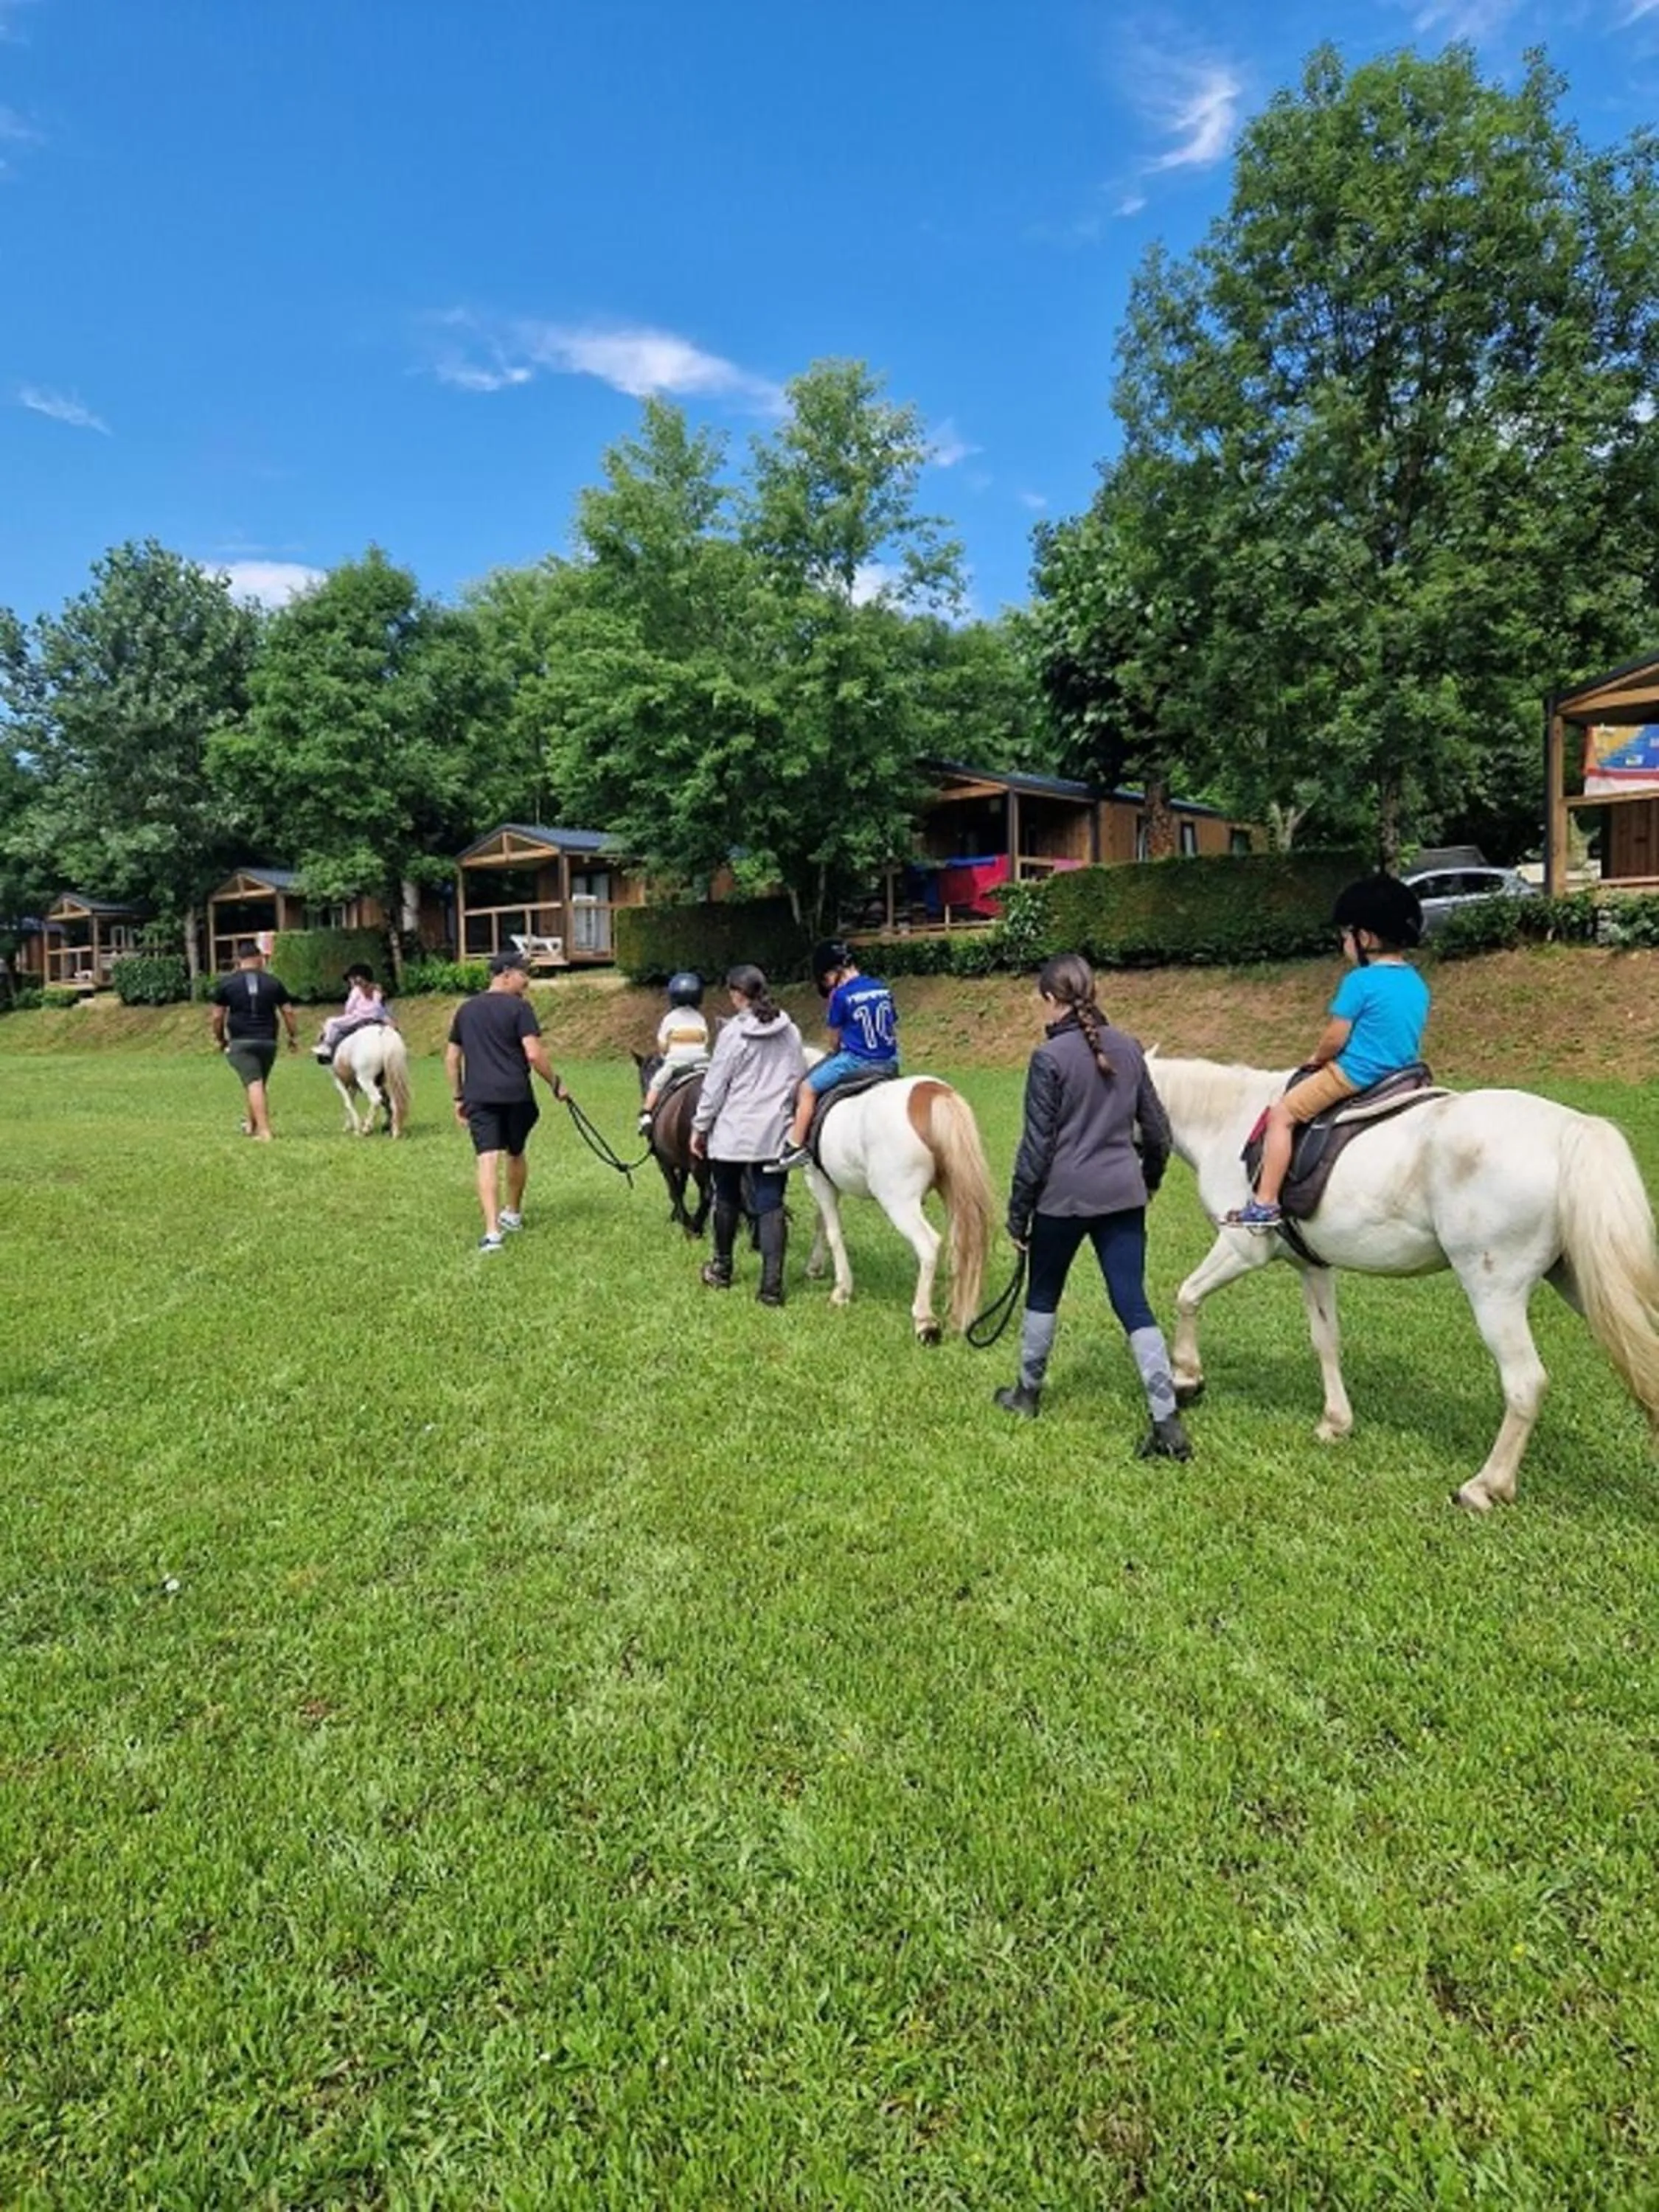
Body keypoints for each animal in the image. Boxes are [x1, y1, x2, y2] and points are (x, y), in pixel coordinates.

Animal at [331, 1025, 412, 1139]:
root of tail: (382, 1032)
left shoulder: (340, 1083)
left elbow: (348, 1104)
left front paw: (356, 1128)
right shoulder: (354, 1086)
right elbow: (351, 1103)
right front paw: (349, 1126)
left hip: (365, 1080)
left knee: (376, 1099)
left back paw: (367, 1128)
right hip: (391, 1081)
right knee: (394, 1103)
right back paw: (395, 1132)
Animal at [800, 1071, 996, 1344]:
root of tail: (933, 1093)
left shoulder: (818, 1180)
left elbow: (833, 1233)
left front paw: (841, 1291)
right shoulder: (827, 1183)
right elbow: (822, 1222)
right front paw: (815, 1267)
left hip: (898, 1201)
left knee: (928, 1244)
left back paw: (924, 1321)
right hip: (955, 1195)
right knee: (962, 1245)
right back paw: (958, 1317)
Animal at [1149, 1054, 1659, 1510]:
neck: (1226, 1118)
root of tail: (1569, 1129)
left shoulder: (1241, 1247)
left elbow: (1187, 1295)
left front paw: (1186, 1378)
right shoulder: (1312, 1266)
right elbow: (1326, 1341)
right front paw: (1336, 1422)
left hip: (1495, 1292)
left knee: (1525, 1384)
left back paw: (1485, 1486)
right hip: (1580, 1283)